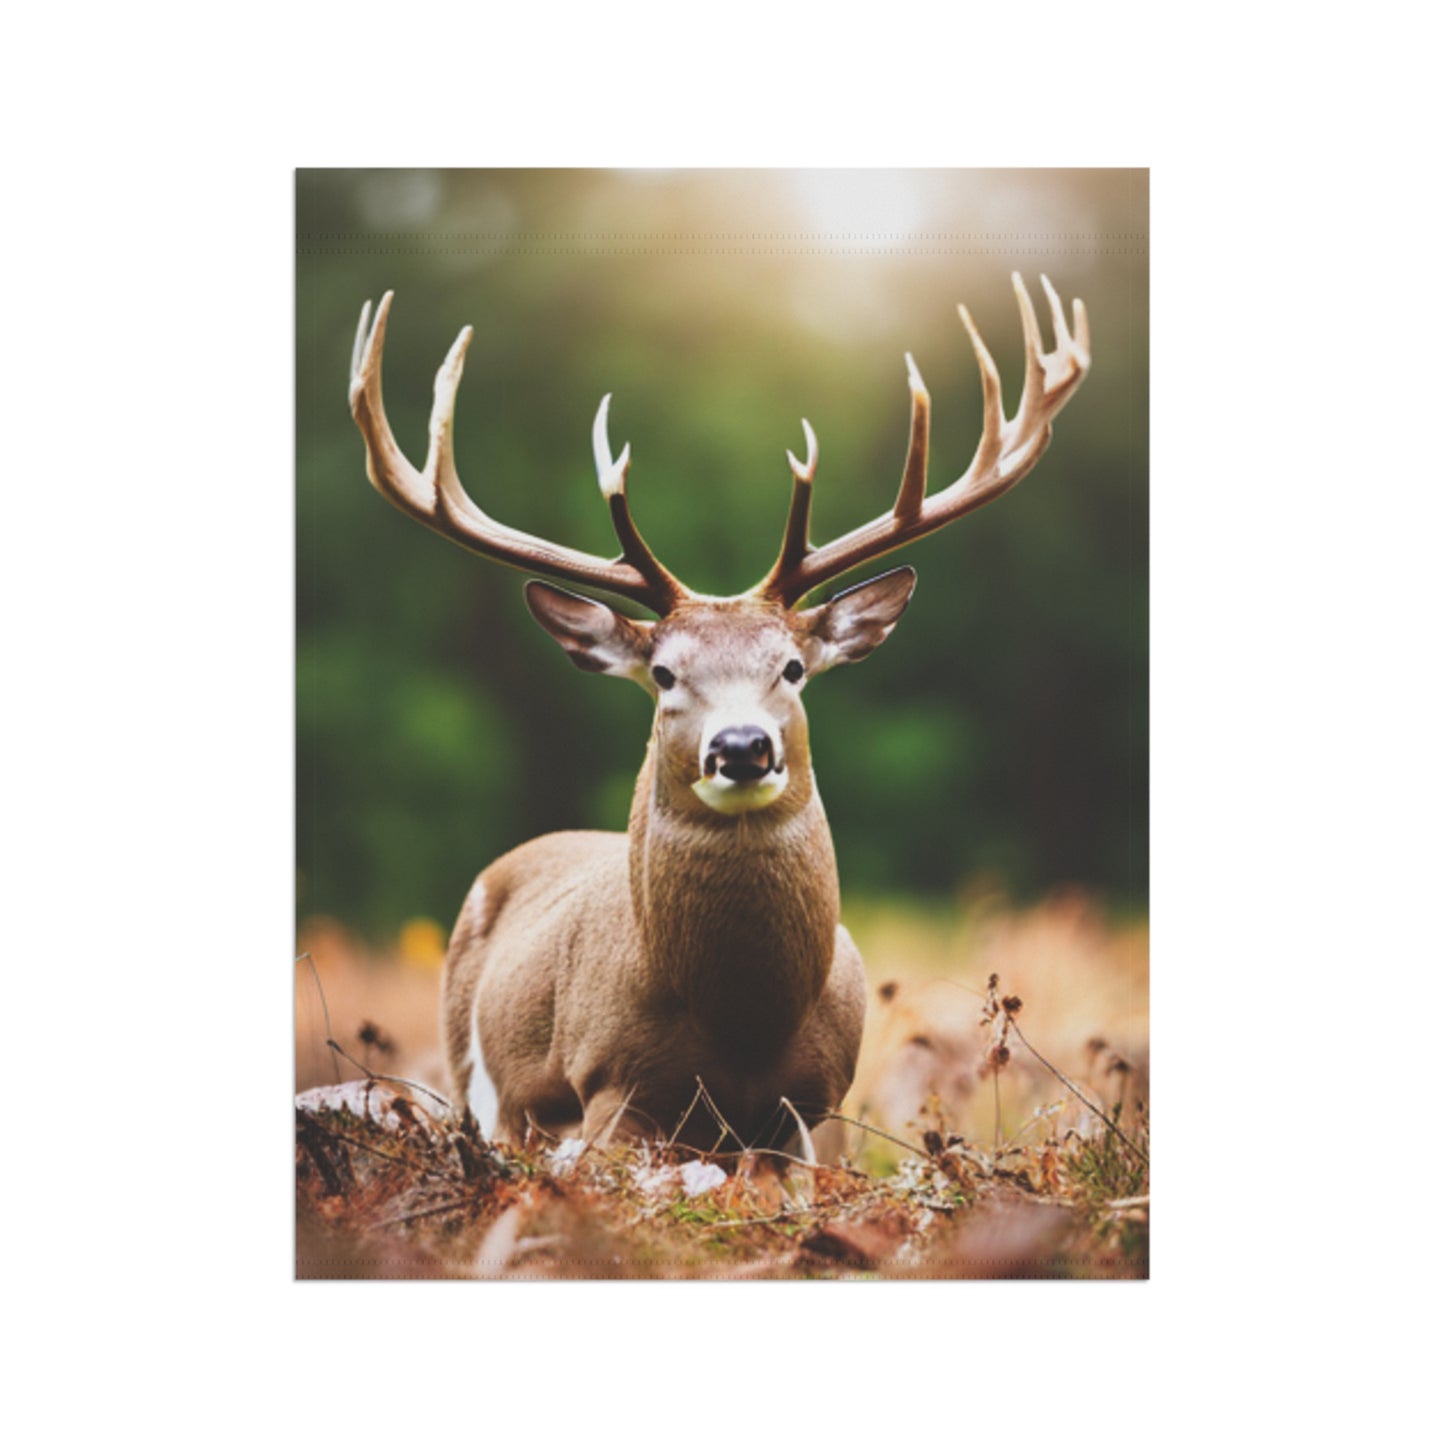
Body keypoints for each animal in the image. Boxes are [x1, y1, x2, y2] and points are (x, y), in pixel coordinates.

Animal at [347, 274, 1090, 1152]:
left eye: (793, 667)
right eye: (664, 673)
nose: (741, 747)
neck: (743, 1023)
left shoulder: (820, 1104)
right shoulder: (609, 1086)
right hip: (477, 1082)